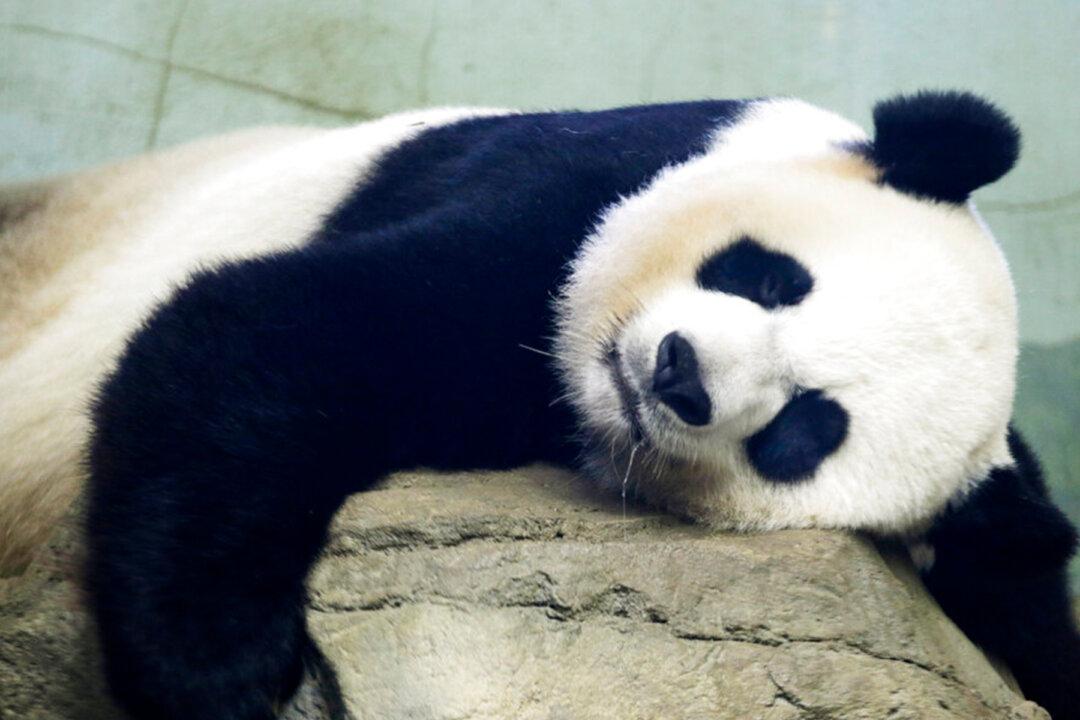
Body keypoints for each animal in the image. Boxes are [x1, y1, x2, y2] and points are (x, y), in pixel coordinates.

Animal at [0, 91, 1076, 719]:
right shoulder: (578, 186)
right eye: (771, 278)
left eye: (804, 430)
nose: (678, 374)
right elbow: (275, 328)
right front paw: (220, 675)